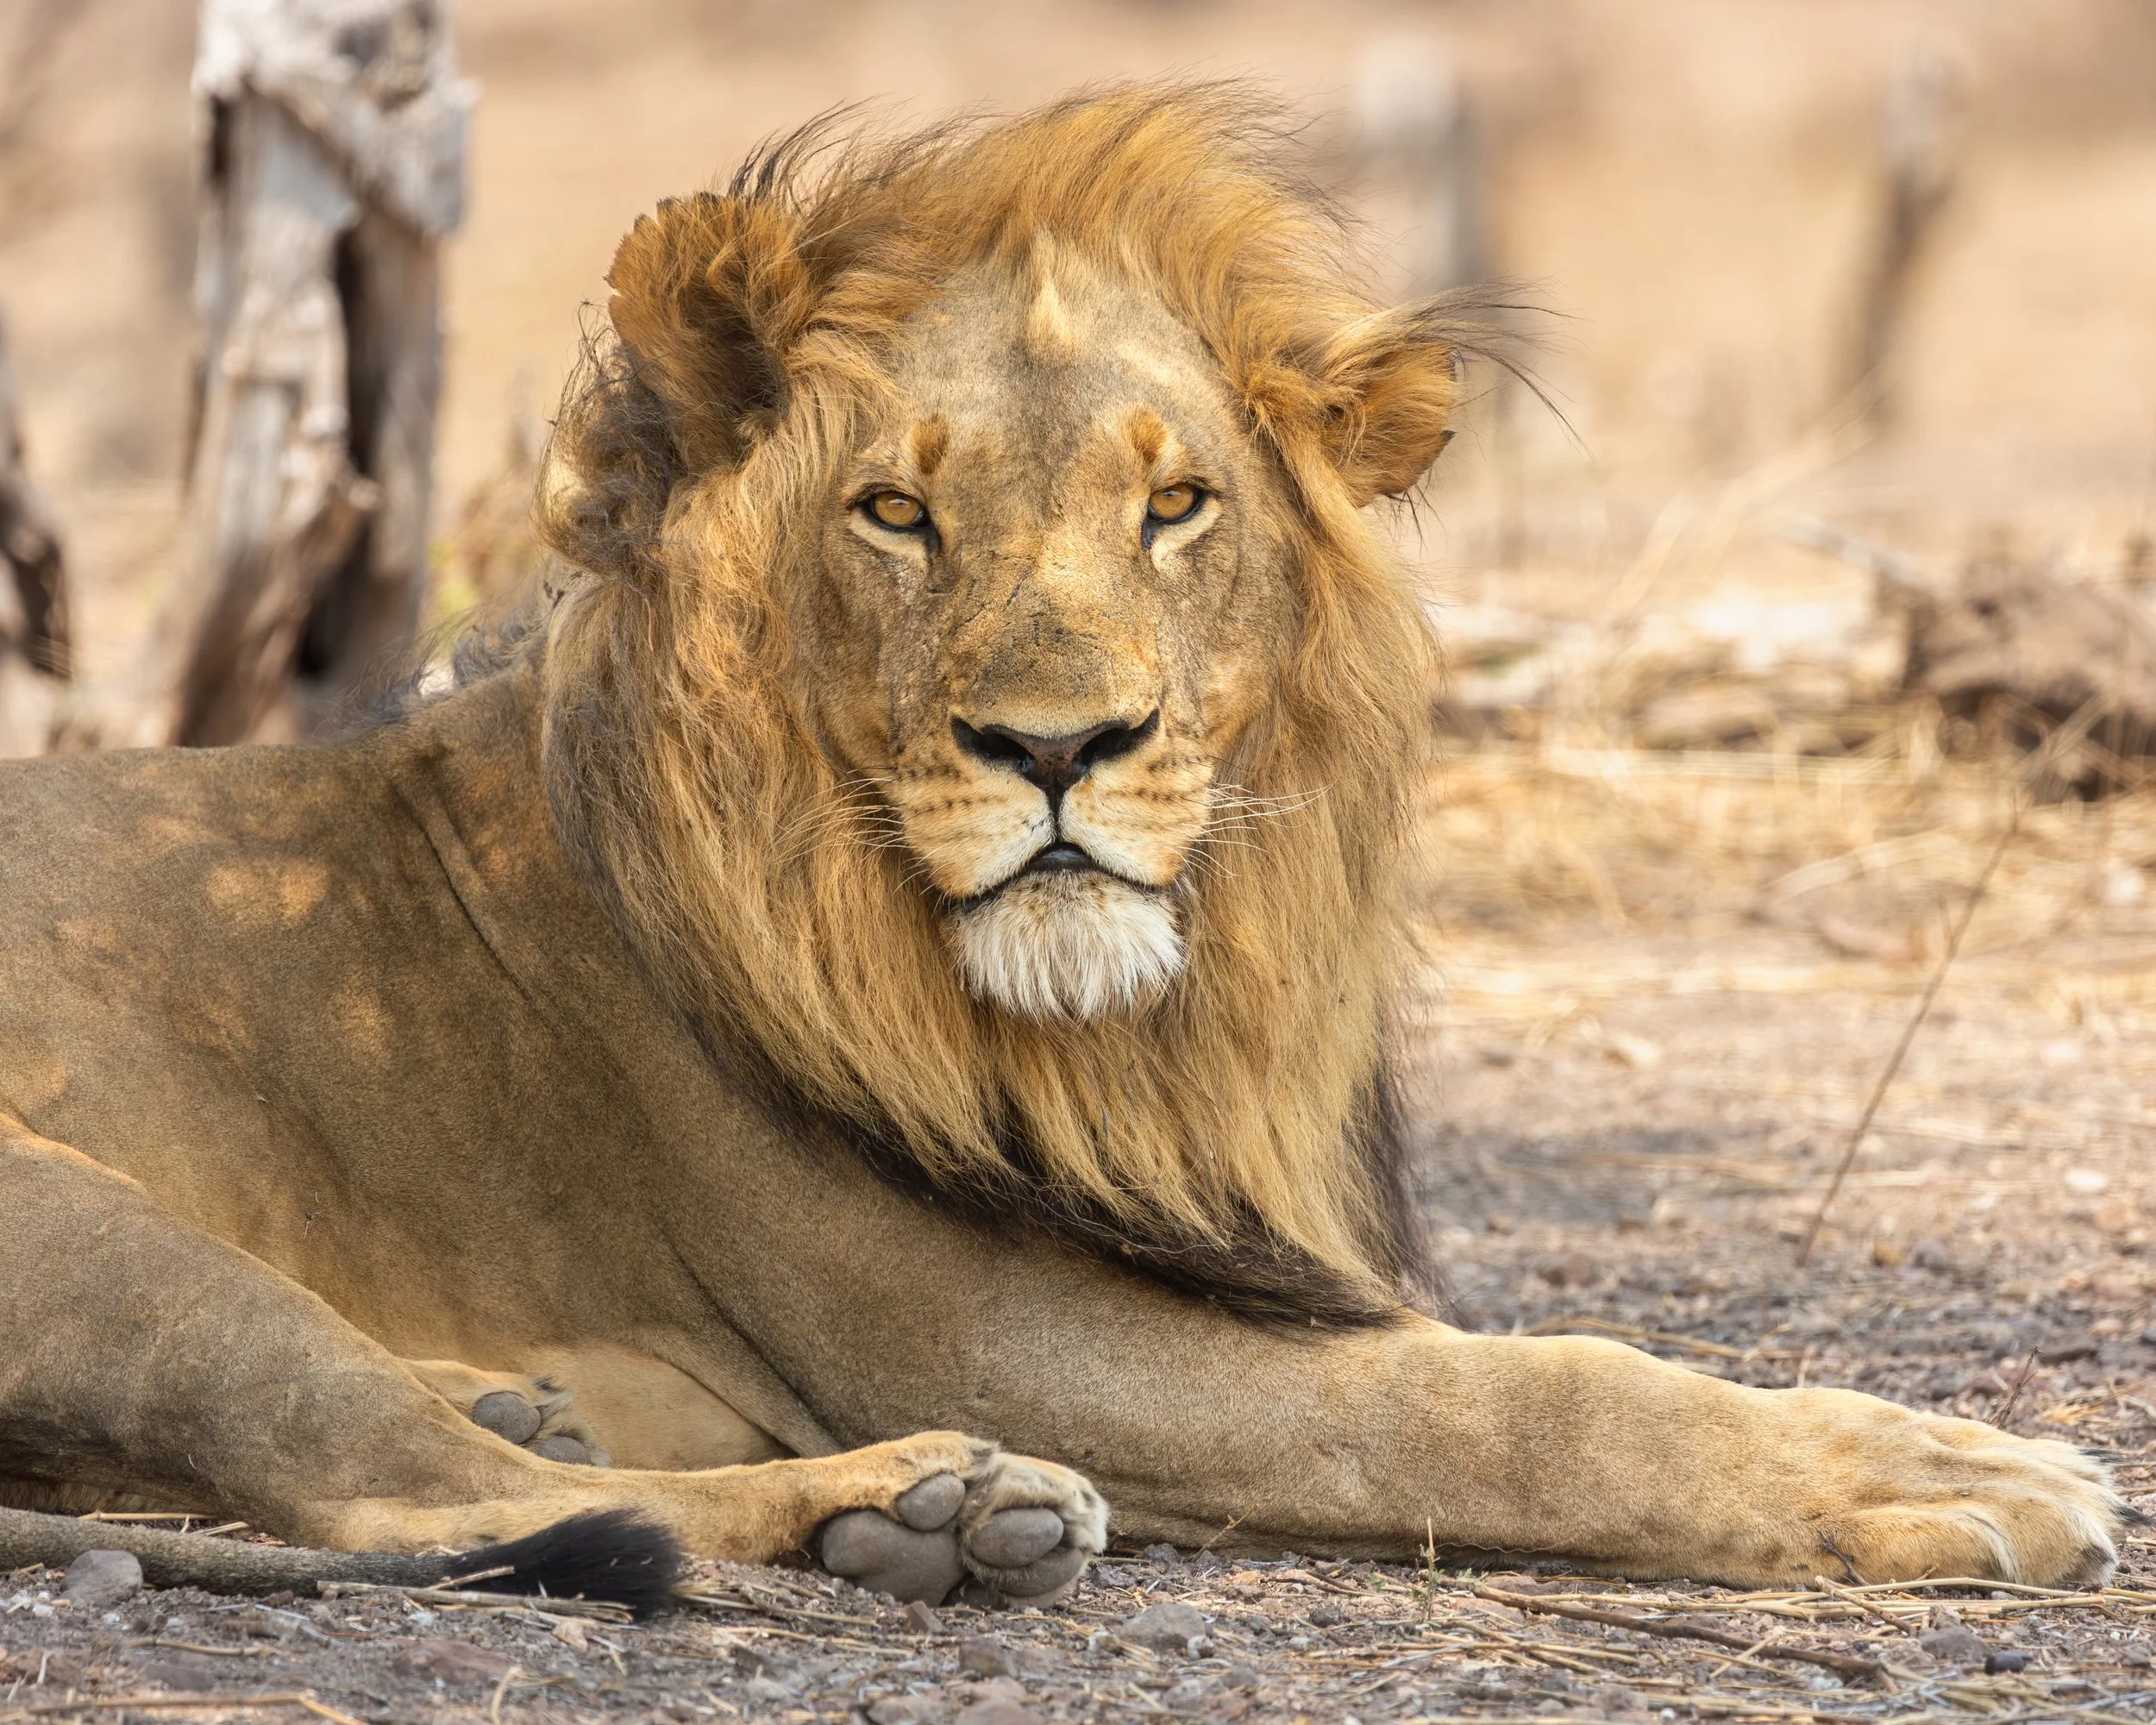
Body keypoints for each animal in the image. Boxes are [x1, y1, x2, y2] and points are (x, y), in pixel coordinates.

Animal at [0, 87, 2125, 1605]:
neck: (1137, 1028)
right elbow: (1510, 1401)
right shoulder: (994, 1325)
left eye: (1175, 507)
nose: (1057, 746)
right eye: (892, 513)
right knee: (402, 1493)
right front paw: (1940, 1467)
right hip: (94, 1226)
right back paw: (926, 1506)